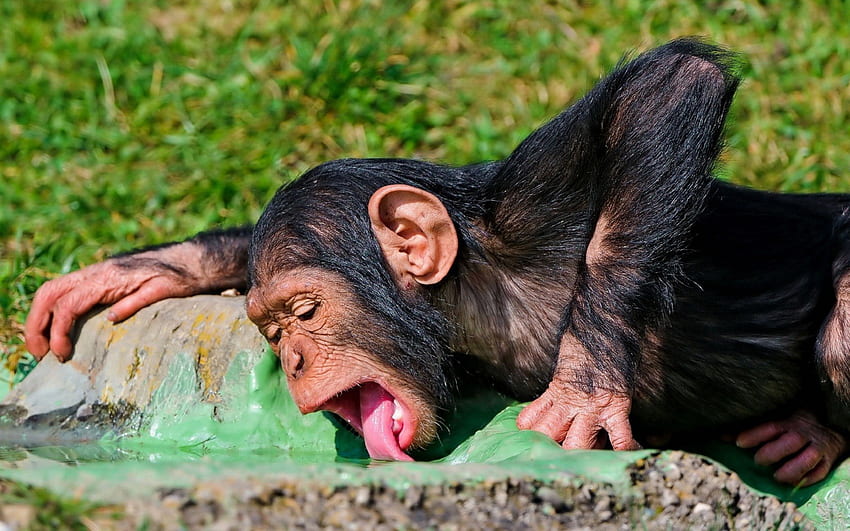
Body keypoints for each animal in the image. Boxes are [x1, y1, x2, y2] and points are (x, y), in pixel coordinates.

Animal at [24, 38, 848, 486]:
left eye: (303, 312)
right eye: (268, 330)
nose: (291, 358)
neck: (473, 297)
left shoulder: (532, 205)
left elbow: (668, 88)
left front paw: (582, 389)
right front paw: (149, 267)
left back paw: (814, 433)